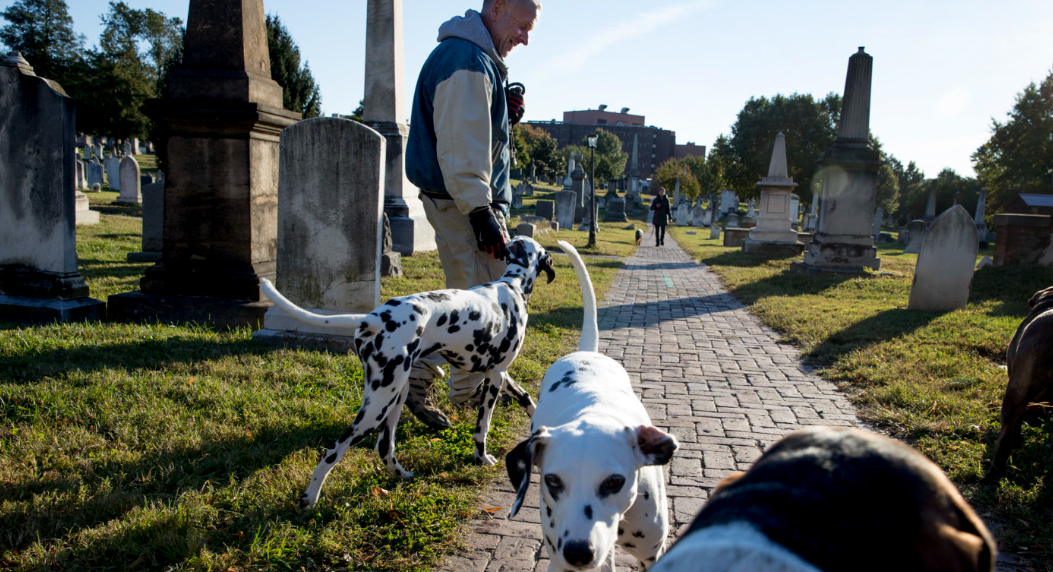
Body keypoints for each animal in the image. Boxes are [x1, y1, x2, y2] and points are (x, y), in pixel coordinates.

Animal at [260, 234, 555, 507]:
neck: (512, 284)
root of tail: (373, 318)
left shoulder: (499, 372)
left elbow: (525, 397)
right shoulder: (493, 377)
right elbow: (482, 428)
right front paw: (482, 458)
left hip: (395, 397)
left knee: (384, 447)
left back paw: (402, 476)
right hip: (378, 405)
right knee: (333, 451)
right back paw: (310, 498)